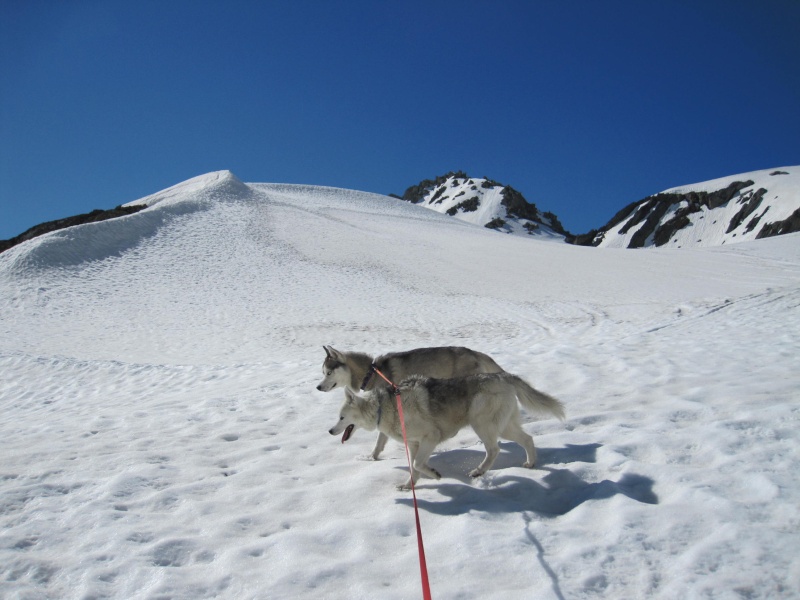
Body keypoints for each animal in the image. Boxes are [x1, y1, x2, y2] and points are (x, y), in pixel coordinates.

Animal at [316, 346, 504, 460]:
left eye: (328, 372)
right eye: (323, 372)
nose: (318, 387)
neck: (372, 372)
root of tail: (475, 352)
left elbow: (380, 439)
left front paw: (372, 456)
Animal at [328, 372, 564, 490]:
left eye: (341, 417)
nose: (330, 431)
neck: (384, 407)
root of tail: (502, 376)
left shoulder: (430, 438)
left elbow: (418, 464)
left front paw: (434, 474)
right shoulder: (413, 444)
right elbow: (414, 468)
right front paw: (409, 486)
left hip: (482, 425)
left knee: (494, 450)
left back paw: (479, 471)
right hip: (505, 427)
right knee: (528, 439)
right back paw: (530, 464)